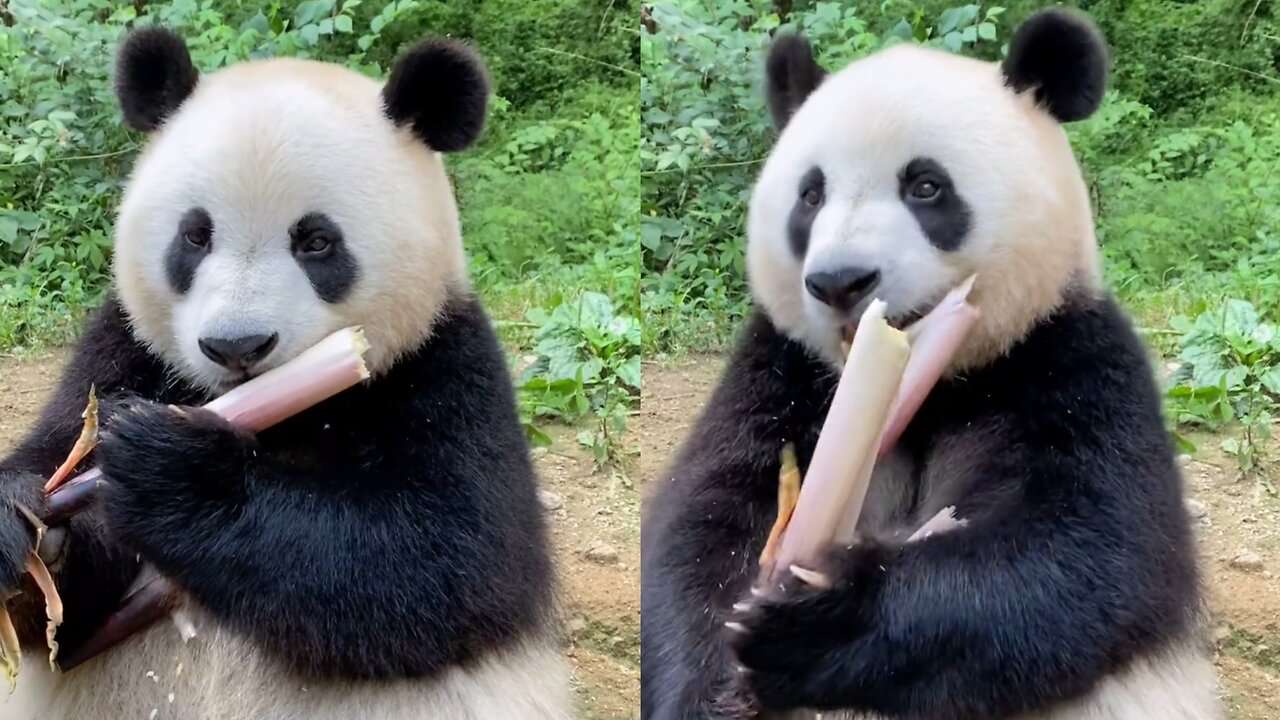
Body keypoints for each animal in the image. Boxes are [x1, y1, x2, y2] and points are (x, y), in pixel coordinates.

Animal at [0, 23, 570, 717]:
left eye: (316, 241)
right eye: (195, 236)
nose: (237, 346)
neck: (283, 414)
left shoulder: (447, 363)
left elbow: (450, 557)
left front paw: (175, 469)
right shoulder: (123, 351)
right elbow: (61, 612)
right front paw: (29, 527)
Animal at [645, 9, 1223, 717]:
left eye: (926, 187)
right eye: (810, 196)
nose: (840, 282)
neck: (926, 387)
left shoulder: (1068, 359)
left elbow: (1092, 547)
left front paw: (816, 615)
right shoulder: (786, 372)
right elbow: (702, 521)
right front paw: (721, 687)